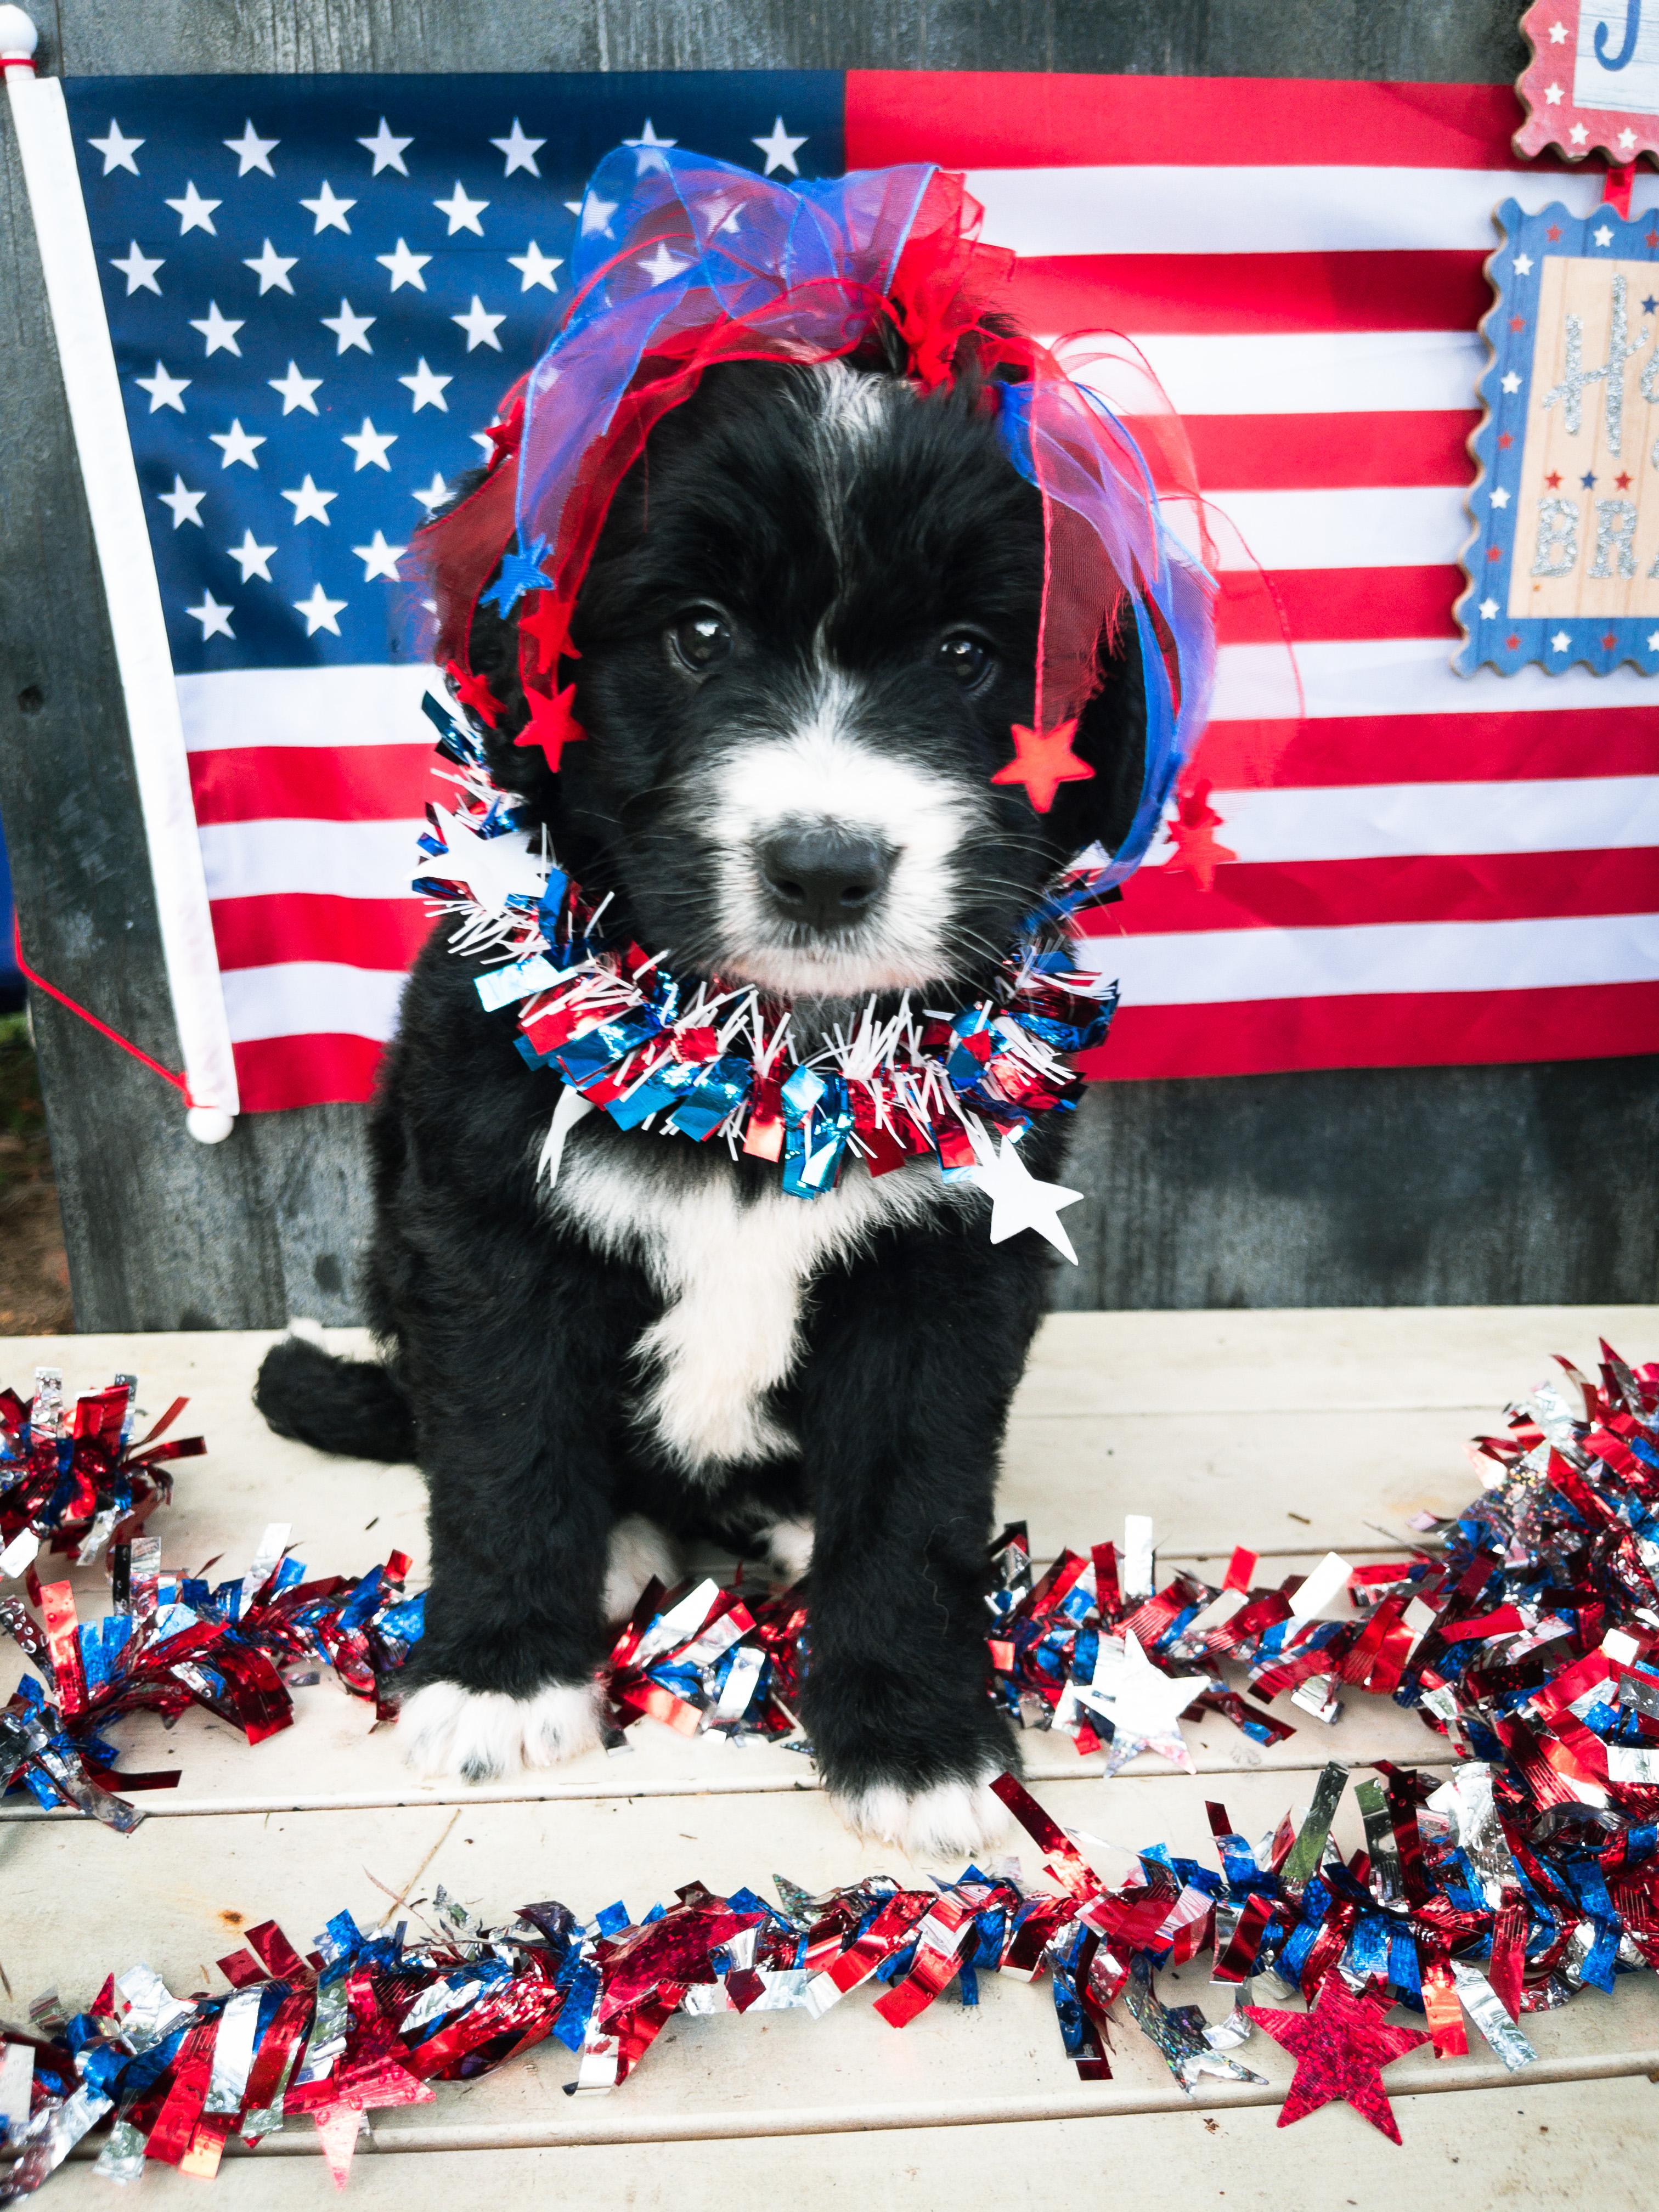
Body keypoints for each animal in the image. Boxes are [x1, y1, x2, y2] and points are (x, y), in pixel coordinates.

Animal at [255, 324, 1146, 1858]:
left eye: (972, 657)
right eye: (701, 633)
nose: (825, 869)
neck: (770, 1055)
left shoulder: (954, 1262)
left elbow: (913, 1498)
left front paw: (914, 1735)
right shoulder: (491, 1228)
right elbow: (502, 1450)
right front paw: (500, 1677)